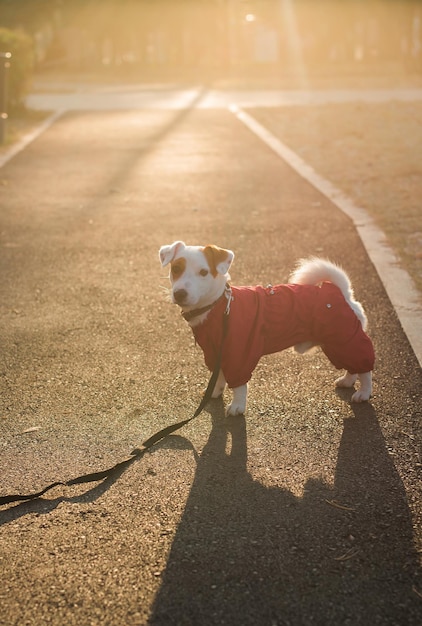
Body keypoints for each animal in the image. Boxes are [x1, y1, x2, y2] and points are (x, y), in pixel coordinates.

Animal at [160, 241, 374, 416]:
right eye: (176, 268)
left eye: (204, 272)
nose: (179, 293)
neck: (218, 307)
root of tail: (341, 292)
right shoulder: (214, 353)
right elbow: (218, 376)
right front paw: (214, 392)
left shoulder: (239, 355)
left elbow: (239, 386)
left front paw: (237, 406)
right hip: (336, 344)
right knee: (353, 366)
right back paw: (347, 380)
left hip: (346, 340)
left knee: (365, 369)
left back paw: (363, 392)